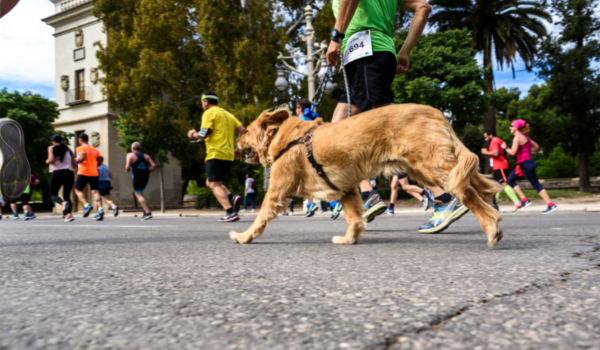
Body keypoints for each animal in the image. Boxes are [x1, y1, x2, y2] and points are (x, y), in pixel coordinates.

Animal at [232, 104, 504, 246]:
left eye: (246, 131)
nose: (236, 137)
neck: (287, 138)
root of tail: (437, 112)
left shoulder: (276, 191)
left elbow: (260, 216)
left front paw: (244, 236)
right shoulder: (346, 189)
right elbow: (354, 217)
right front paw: (348, 239)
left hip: (433, 167)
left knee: (468, 194)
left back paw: (491, 226)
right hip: (428, 168)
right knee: (481, 185)